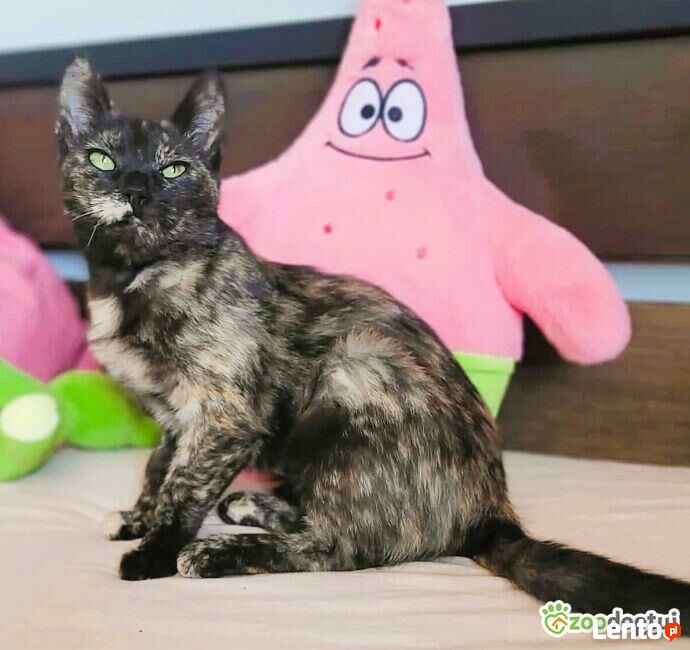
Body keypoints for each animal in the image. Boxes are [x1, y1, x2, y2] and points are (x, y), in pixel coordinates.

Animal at [57, 58, 689, 618]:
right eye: (101, 159)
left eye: (174, 170)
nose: (137, 189)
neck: (132, 281)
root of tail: (490, 515)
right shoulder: (176, 416)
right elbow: (159, 469)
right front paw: (138, 520)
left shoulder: (223, 416)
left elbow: (184, 487)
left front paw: (155, 552)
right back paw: (255, 505)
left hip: (354, 371)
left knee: (343, 547)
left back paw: (219, 552)